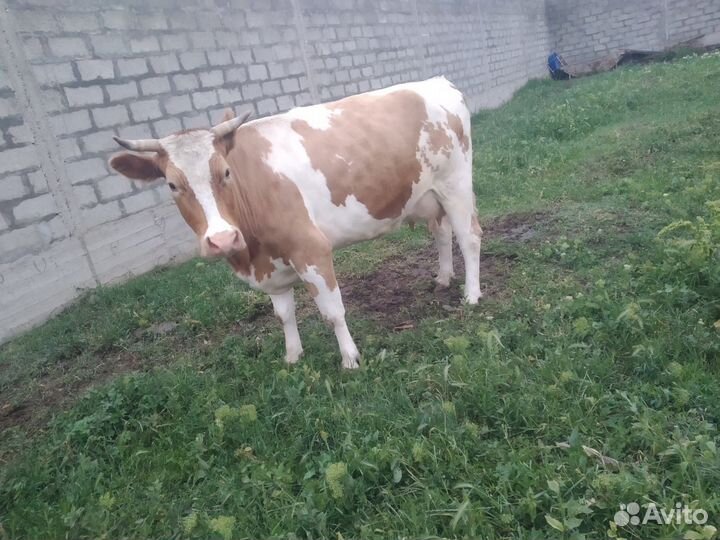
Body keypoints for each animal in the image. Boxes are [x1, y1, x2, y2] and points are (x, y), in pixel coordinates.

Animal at [109, 77, 482, 369]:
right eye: (172, 185)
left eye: (226, 172)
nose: (223, 239)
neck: (250, 254)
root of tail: (436, 81)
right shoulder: (270, 267)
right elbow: (283, 314)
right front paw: (292, 356)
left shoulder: (311, 248)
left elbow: (332, 311)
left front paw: (350, 358)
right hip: (428, 195)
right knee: (441, 230)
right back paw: (443, 278)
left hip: (456, 184)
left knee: (470, 236)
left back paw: (471, 294)